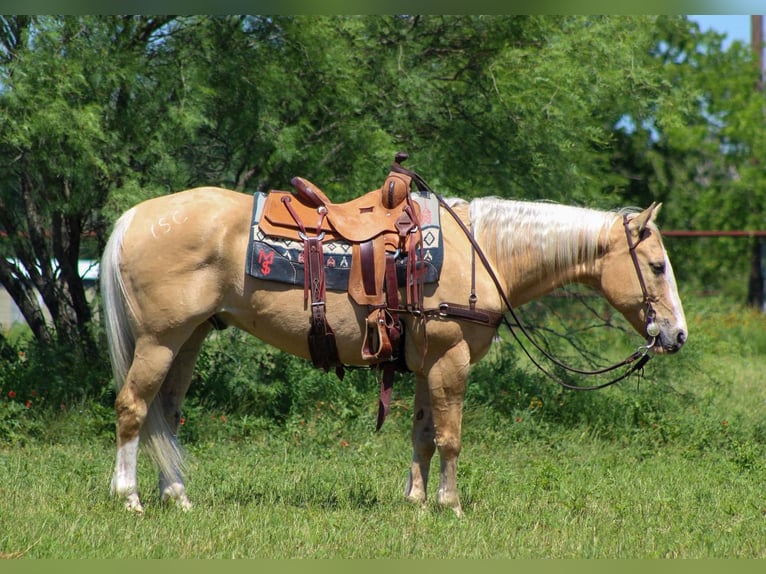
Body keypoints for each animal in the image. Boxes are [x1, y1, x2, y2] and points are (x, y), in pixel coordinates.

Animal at [100, 186, 687, 515]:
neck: (483, 252)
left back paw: (177, 497)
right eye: (657, 266)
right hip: (159, 339)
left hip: (191, 337)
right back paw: (128, 498)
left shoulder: (428, 365)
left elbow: (424, 437)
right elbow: (451, 439)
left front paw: (417, 503)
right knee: (133, 408)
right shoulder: (451, 361)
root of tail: (134, 217)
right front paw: (452, 507)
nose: (676, 335)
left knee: (166, 415)